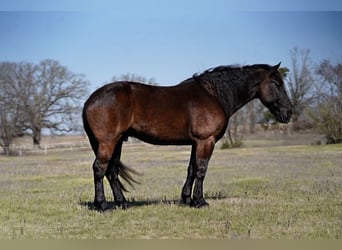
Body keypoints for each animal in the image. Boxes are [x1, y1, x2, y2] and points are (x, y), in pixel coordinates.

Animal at [82, 62, 292, 211]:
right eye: (276, 84)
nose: (288, 112)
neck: (213, 94)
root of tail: (90, 100)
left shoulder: (196, 142)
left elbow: (191, 169)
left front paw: (186, 199)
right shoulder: (206, 141)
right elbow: (201, 170)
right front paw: (200, 201)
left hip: (117, 142)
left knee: (112, 171)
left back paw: (122, 203)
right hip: (108, 142)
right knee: (99, 168)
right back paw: (102, 205)